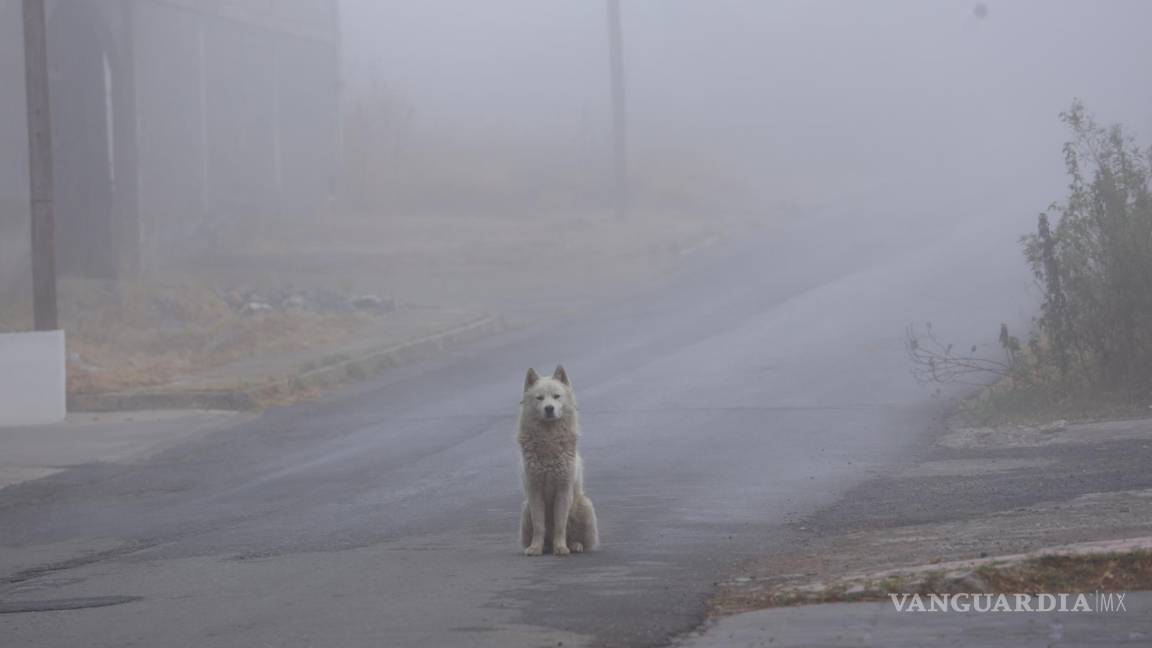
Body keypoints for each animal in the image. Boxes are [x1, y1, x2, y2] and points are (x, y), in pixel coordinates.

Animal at [518, 366, 599, 553]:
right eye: (539, 398)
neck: (549, 439)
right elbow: (539, 526)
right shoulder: (535, 491)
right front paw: (535, 548)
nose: (549, 408)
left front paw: (561, 548)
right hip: (526, 509)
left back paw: (574, 545)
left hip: (585, 505)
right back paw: (546, 546)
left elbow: (560, 524)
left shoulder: (563, 490)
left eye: (556, 396)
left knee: (576, 536)